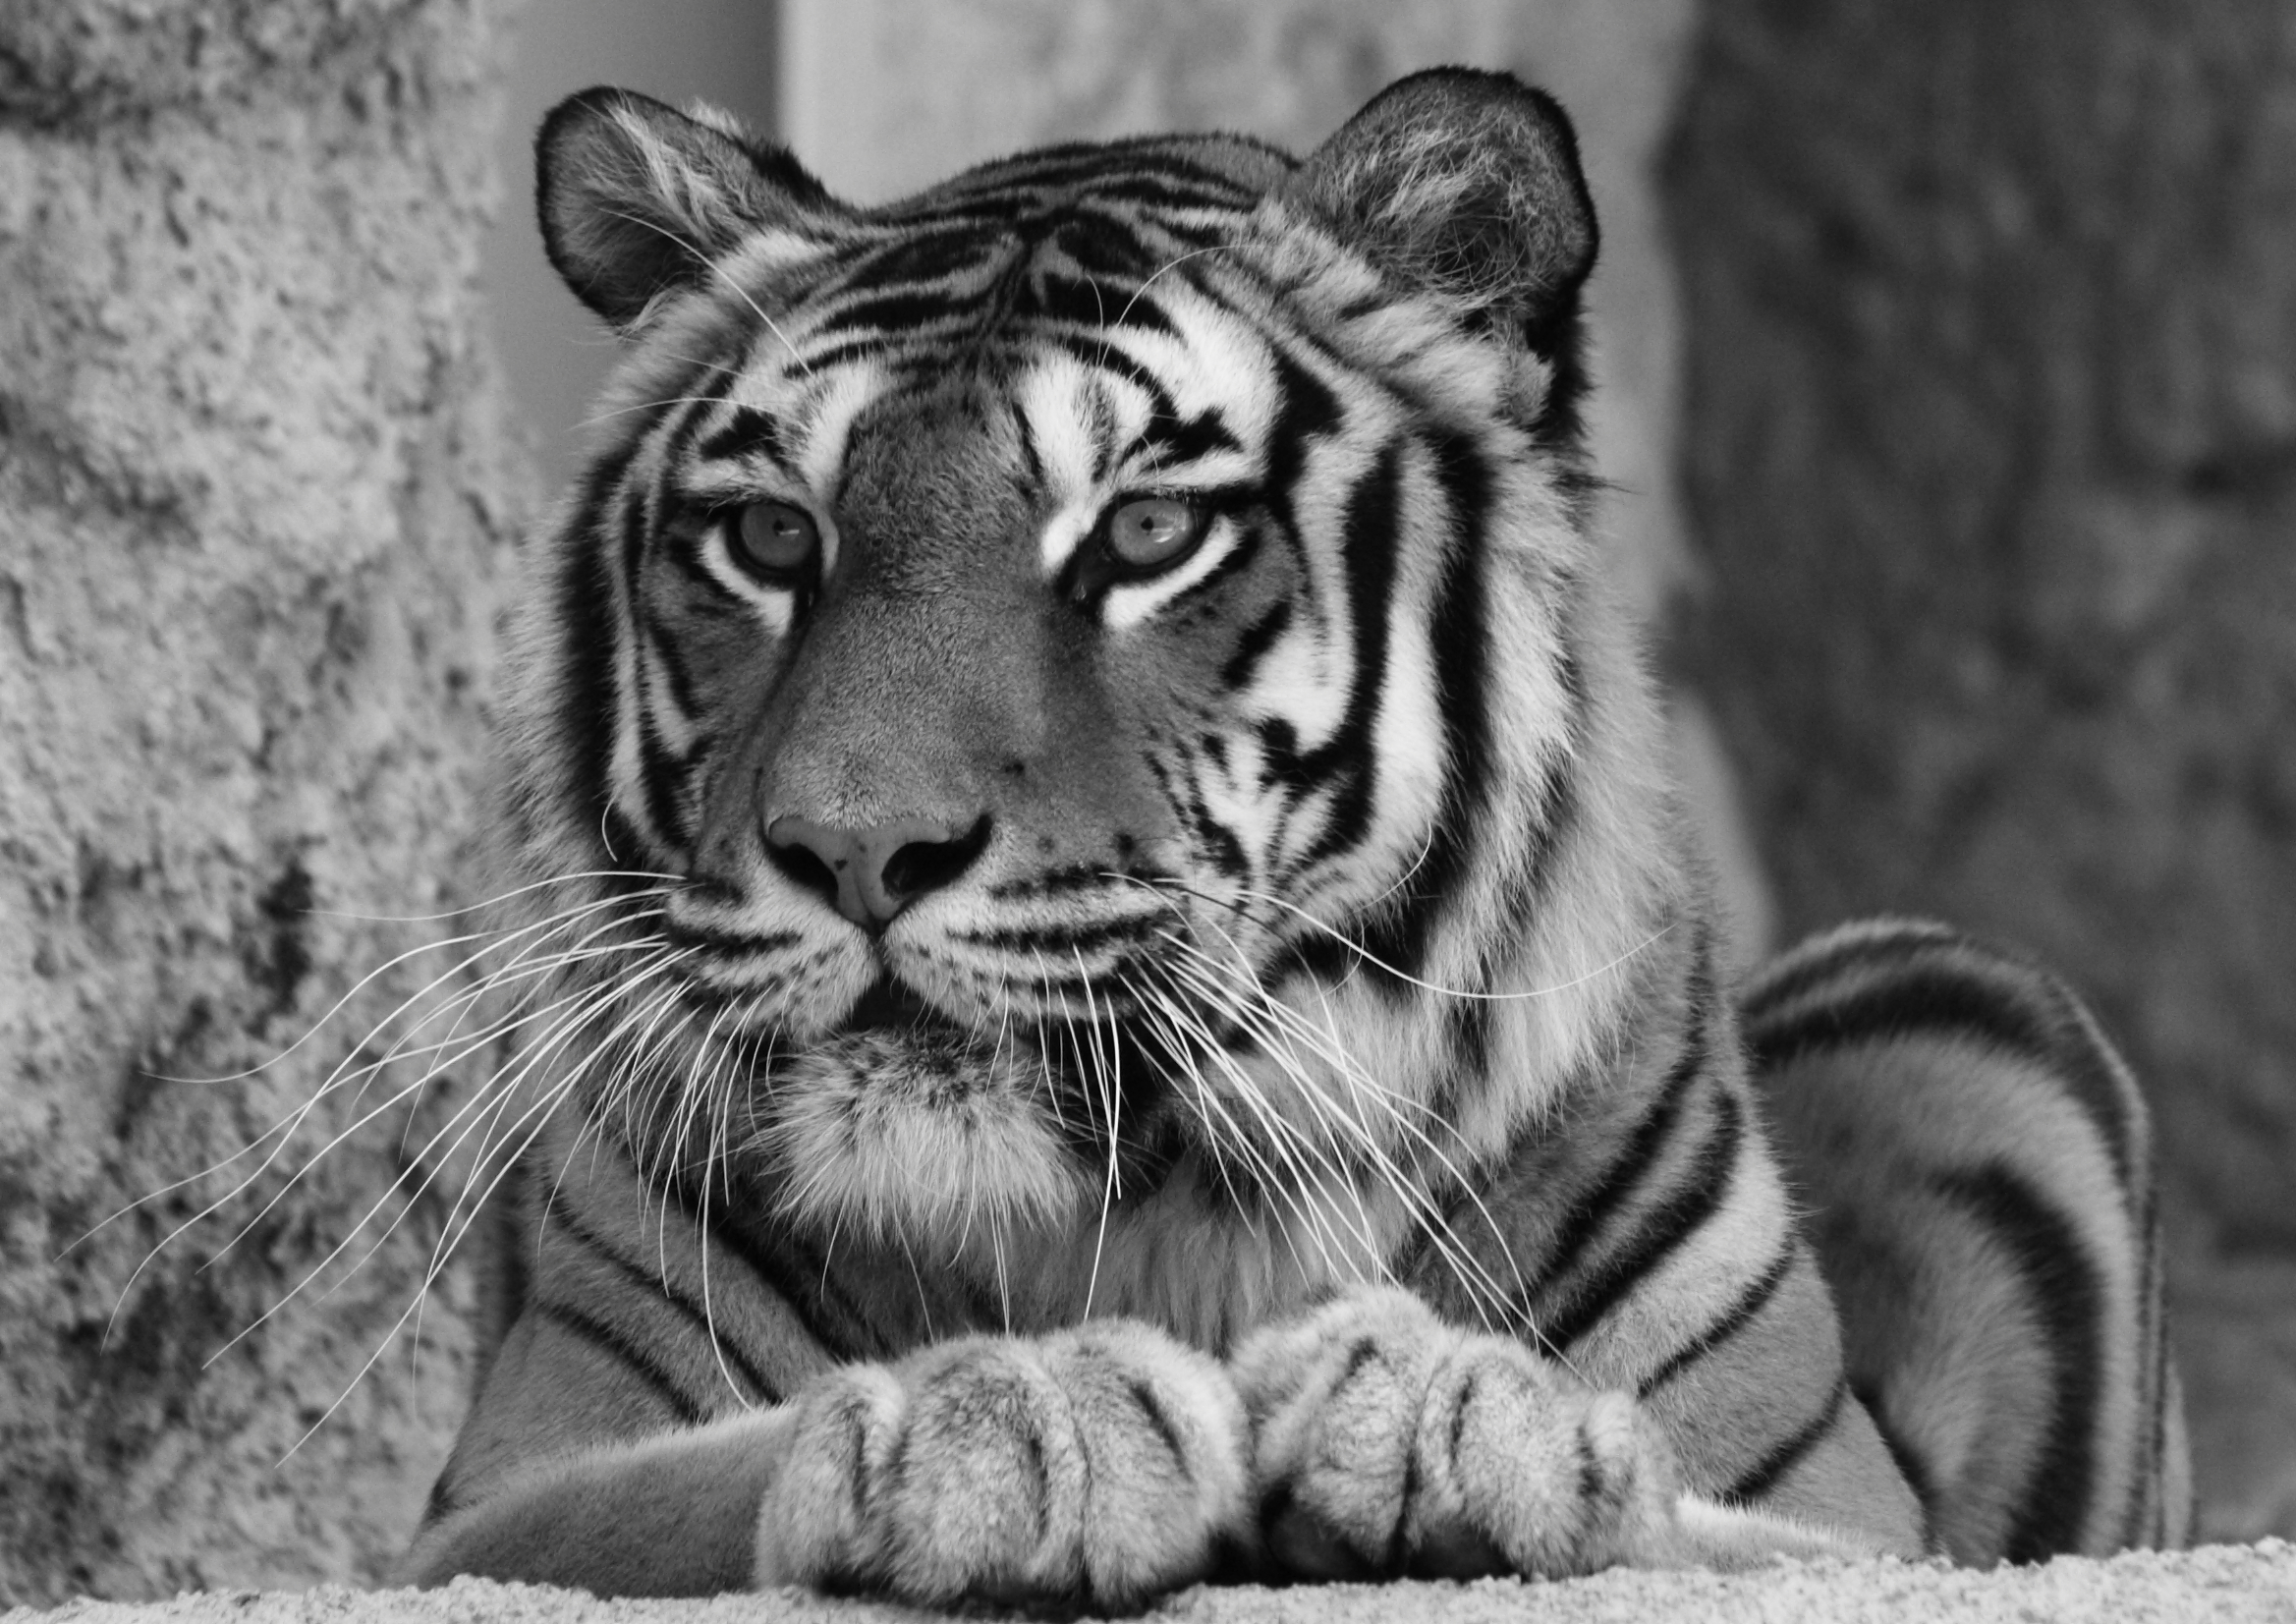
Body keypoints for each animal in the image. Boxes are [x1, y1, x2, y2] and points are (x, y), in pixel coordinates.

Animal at [394, 68, 2190, 1605]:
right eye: (773, 536)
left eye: (1145, 531)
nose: (855, 851)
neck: (1160, 1210)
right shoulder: (487, 1510)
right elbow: (677, 1492)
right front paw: (1011, 1422)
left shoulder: (1847, 1522)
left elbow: (1708, 1520)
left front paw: (1457, 1423)